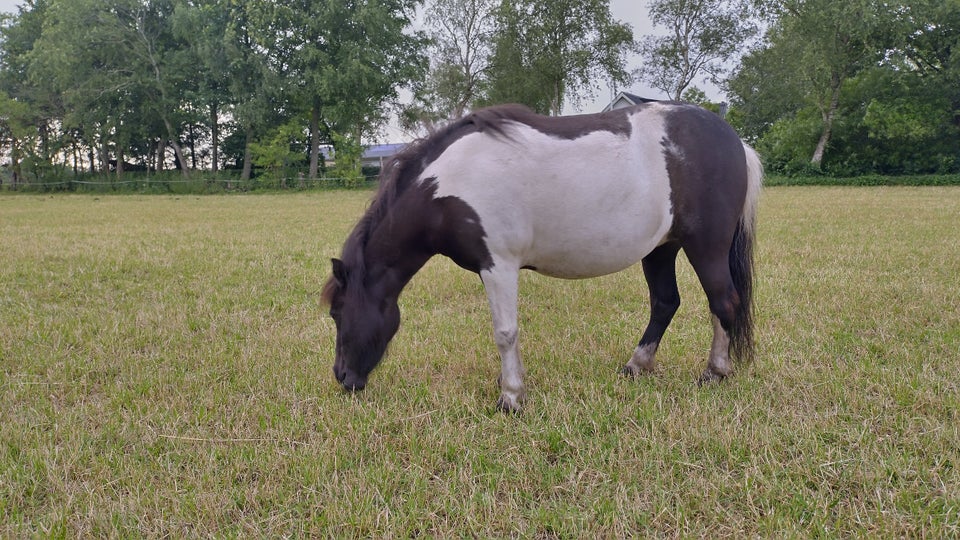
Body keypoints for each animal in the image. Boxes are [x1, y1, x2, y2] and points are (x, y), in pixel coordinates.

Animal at [318, 101, 760, 412]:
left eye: (337, 312)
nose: (343, 377)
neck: (449, 185)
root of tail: (736, 141)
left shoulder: (498, 265)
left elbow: (505, 332)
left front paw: (511, 398)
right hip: (660, 249)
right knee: (666, 302)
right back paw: (636, 366)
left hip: (706, 246)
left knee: (724, 302)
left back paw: (714, 373)